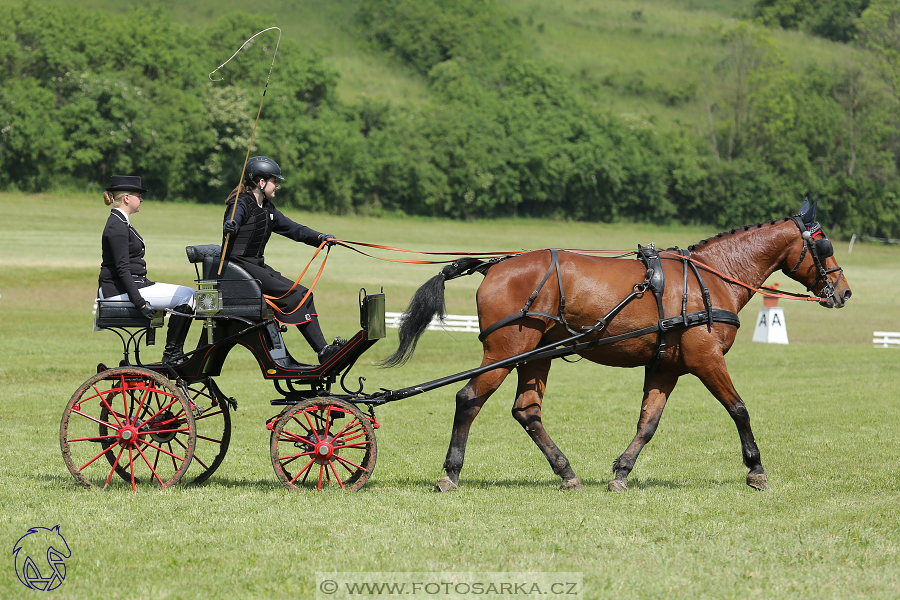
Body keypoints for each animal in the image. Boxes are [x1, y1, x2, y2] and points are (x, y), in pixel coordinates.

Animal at [384, 199, 852, 490]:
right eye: (824, 243)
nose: (844, 292)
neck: (712, 277)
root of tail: (496, 265)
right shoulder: (706, 358)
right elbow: (738, 408)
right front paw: (755, 468)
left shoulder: (666, 366)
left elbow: (648, 422)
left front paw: (622, 472)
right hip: (505, 352)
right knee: (468, 399)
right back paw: (451, 472)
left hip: (535, 356)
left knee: (527, 411)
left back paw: (566, 472)